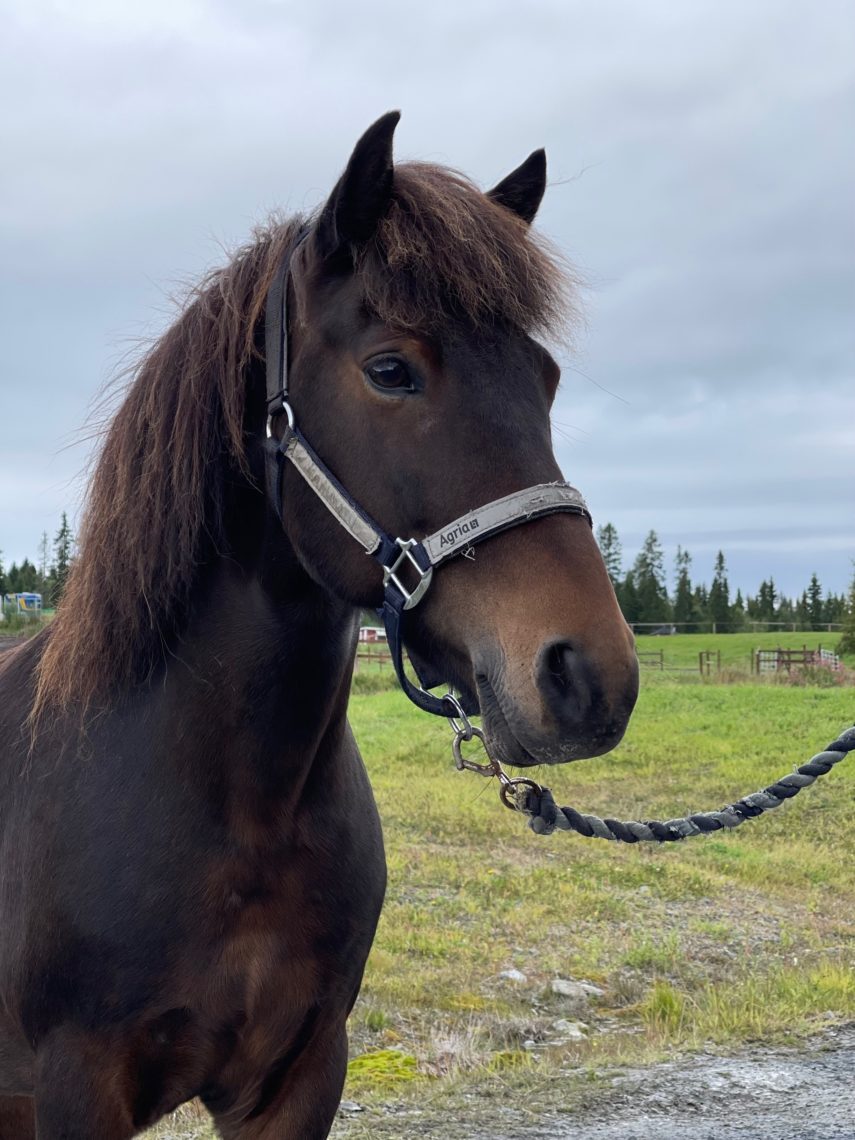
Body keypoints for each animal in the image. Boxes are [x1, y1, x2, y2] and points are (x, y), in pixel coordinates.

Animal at [0, 111, 638, 1135]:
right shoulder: (71, 1091)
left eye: (543, 377)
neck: (240, 811)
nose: (587, 676)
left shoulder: (299, 1074)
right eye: (390, 371)